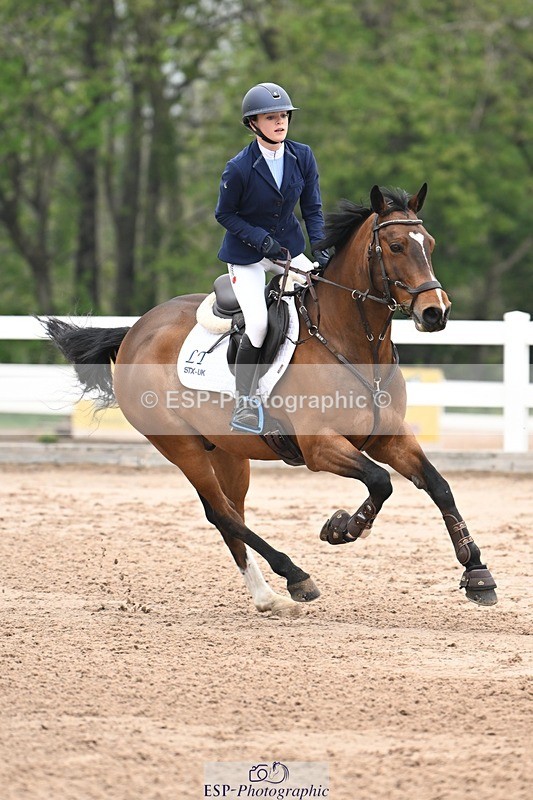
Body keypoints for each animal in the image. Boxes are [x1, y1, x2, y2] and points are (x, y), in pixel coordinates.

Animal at [43, 184, 497, 617]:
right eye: (397, 246)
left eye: (430, 243)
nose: (435, 313)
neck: (353, 343)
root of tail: (136, 330)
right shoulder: (319, 446)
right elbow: (380, 481)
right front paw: (344, 528)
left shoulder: (388, 436)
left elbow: (437, 485)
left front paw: (477, 572)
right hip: (182, 446)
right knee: (221, 513)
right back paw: (295, 577)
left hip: (227, 451)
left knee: (231, 515)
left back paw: (267, 597)